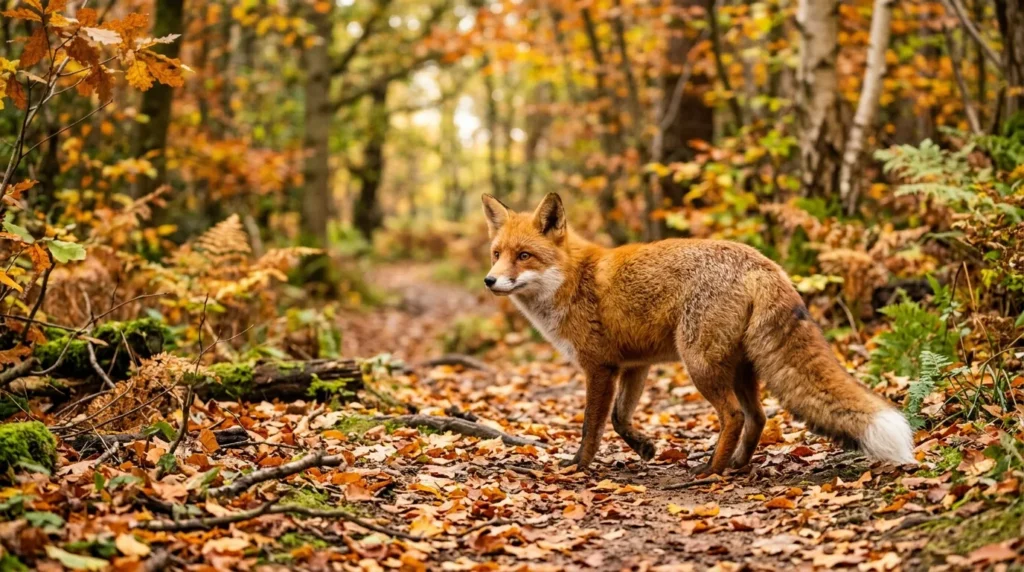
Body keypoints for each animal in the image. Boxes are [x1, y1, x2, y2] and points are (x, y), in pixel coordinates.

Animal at [481, 192, 916, 474]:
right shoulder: (634, 365)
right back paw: (738, 465)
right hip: (739, 367)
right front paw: (645, 447)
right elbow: (621, 419)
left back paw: (711, 471)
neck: (572, 280)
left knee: (734, 416)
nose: (489, 281)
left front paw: (577, 467)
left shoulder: (600, 367)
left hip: (700, 364)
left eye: (524, 256)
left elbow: (592, 427)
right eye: (497, 254)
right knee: (757, 417)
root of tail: (763, 262)